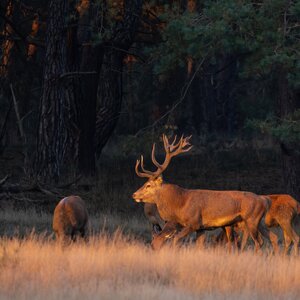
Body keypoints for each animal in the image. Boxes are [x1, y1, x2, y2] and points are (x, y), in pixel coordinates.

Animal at [132, 135, 268, 250]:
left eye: (148, 185)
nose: (134, 194)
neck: (180, 204)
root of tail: (264, 201)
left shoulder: (193, 222)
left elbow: (175, 240)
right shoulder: (201, 228)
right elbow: (199, 247)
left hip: (251, 219)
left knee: (258, 242)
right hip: (255, 222)